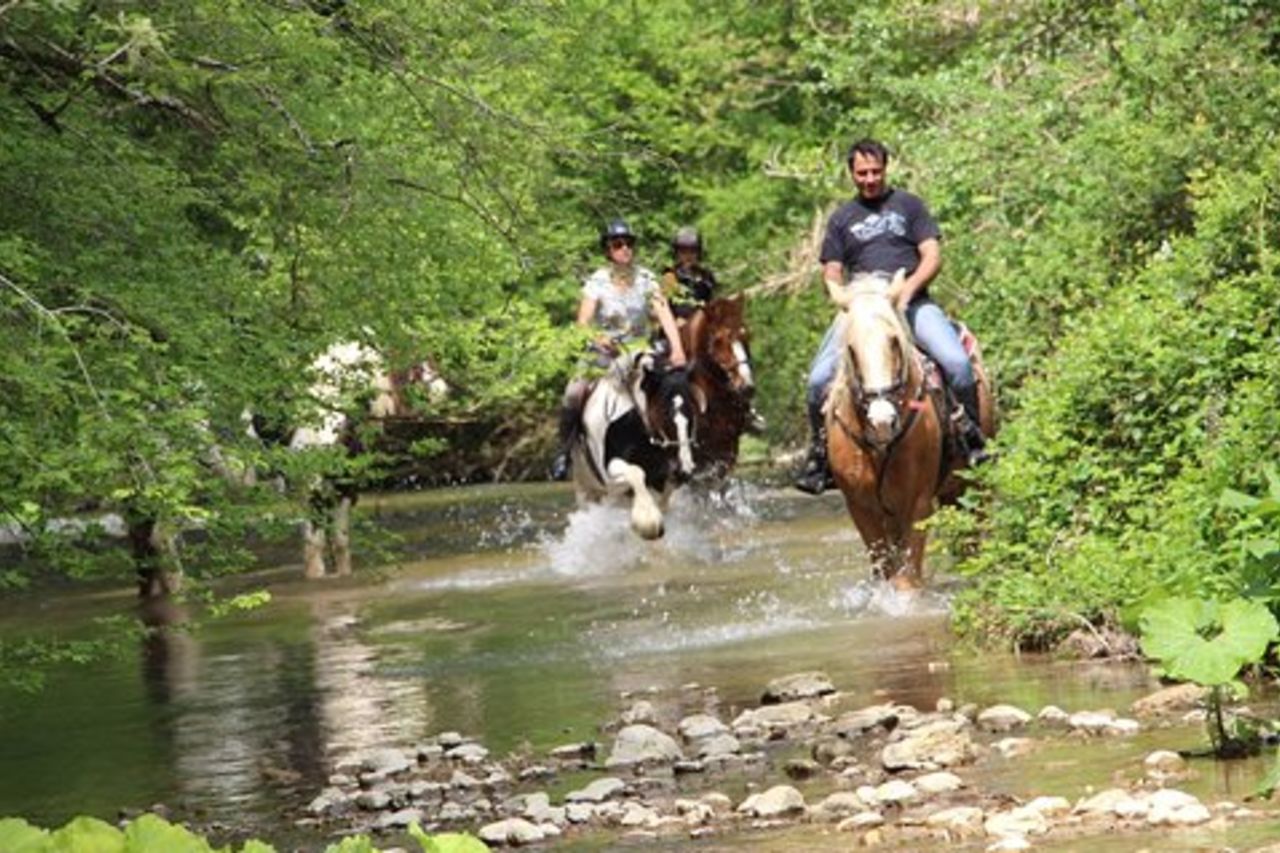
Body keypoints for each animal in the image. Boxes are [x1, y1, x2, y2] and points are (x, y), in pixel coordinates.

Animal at [571, 351, 697, 539]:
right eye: (663, 414)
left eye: (692, 413)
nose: (685, 470)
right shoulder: (612, 473)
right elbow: (636, 472)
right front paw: (647, 520)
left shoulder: (664, 475)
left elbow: (664, 494)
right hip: (586, 488)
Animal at [826, 272, 996, 590]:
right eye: (851, 349)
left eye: (894, 341)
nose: (882, 420)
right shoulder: (861, 508)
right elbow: (885, 573)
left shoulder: (917, 504)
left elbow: (907, 580)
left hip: (974, 483)